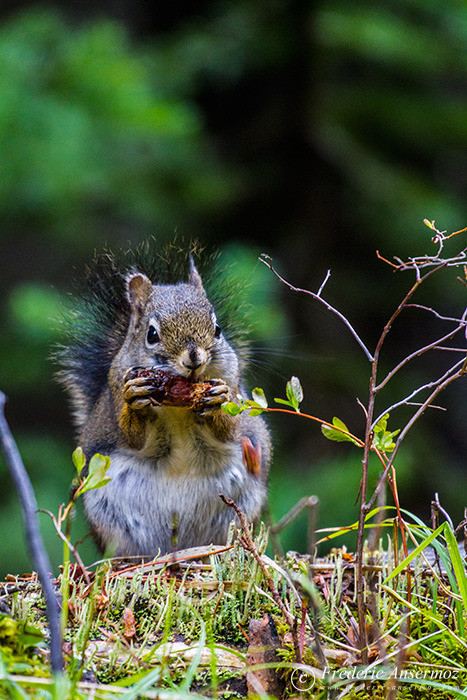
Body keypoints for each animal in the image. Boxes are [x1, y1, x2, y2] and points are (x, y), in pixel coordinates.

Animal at [58, 246, 272, 556]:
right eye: (152, 334)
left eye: (217, 328)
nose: (194, 358)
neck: (178, 405)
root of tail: (177, 547)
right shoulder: (117, 384)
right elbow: (133, 437)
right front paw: (136, 397)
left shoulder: (233, 381)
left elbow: (230, 429)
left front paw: (217, 400)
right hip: (110, 521)